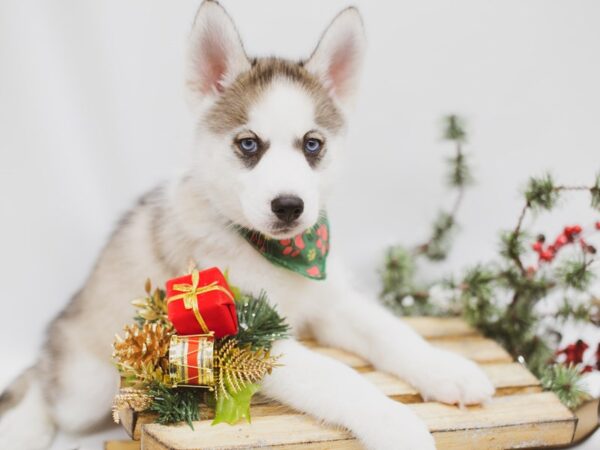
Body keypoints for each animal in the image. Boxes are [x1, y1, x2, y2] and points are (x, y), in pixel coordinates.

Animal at [0, 1, 492, 448]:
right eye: (249, 144)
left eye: (313, 144)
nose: (289, 206)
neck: (281, 257)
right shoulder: (248, 340)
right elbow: (340, 377)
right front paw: (397, 424)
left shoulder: (330, 302)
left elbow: (392, 331)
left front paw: (447, 368)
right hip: (85, 384)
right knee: (41, 386)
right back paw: (24, 428)